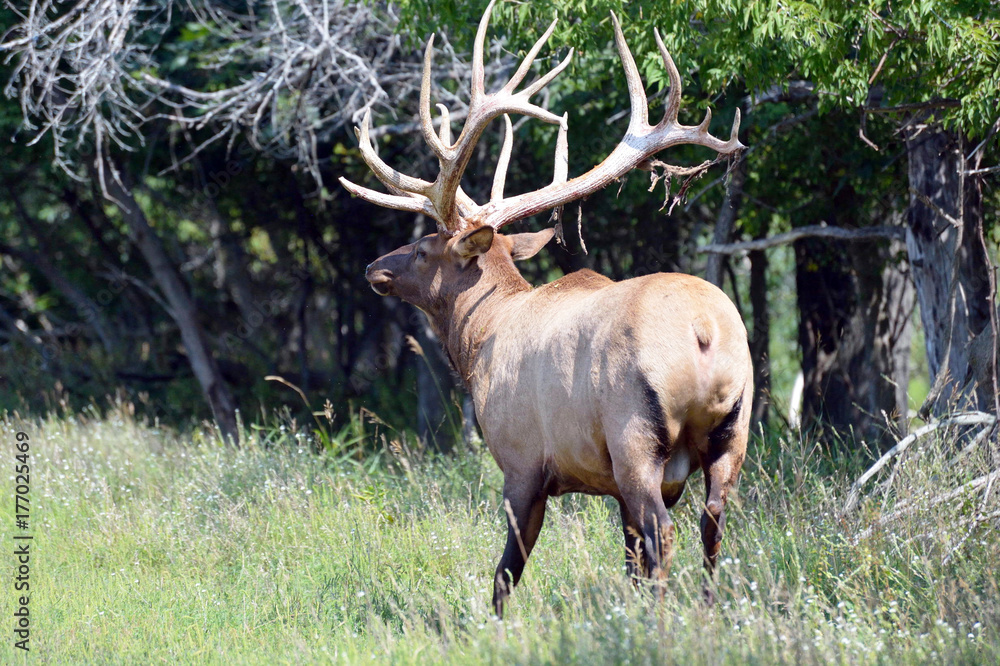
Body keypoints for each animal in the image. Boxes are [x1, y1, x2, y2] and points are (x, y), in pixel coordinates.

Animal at [339, 0, 752, 617]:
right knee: (711, 525)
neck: (478, 343)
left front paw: (496, 624)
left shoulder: (522, 459)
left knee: (663, 535)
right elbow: (625, 557)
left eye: (422, 248)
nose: (372, 268)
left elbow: (507, 570)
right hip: (732, 435)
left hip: (635, 436)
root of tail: (705, 332)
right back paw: (704, 610)